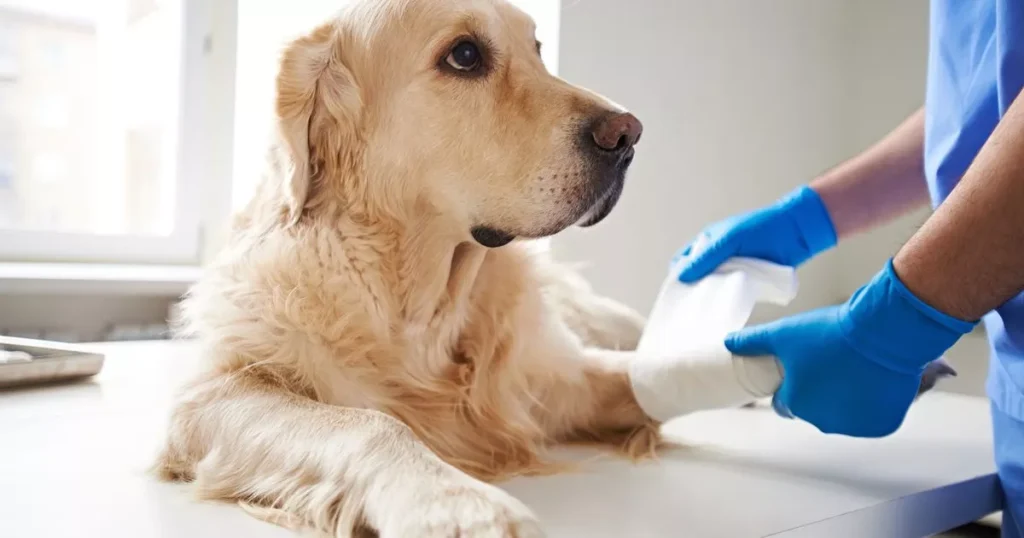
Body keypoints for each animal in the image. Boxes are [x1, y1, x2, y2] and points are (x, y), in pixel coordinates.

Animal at [157, 2, 655, 532]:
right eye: (464, 55)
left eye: (537, 48)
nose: (628, 134)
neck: (419, 308)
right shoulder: (213, 394)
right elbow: (372, 424)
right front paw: (460, 506)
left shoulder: (552, 379)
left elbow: (641, 377)